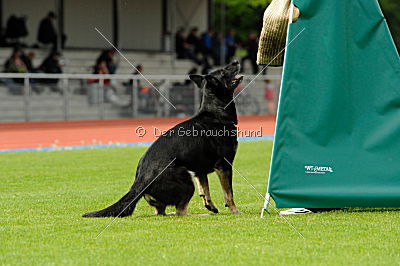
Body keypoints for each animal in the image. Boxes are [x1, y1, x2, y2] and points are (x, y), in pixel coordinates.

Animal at [83, 61, 242, 217]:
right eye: (223, 71)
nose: (236, 61)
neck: (215, 113)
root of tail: (140, 182)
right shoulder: (224, 166)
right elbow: (229, 194)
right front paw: (235, 211)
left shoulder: (199, 171)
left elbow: (205, 189)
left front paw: (210, 205)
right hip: (186, 181)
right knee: (181, 212)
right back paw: (200, 215)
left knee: (162, 212)